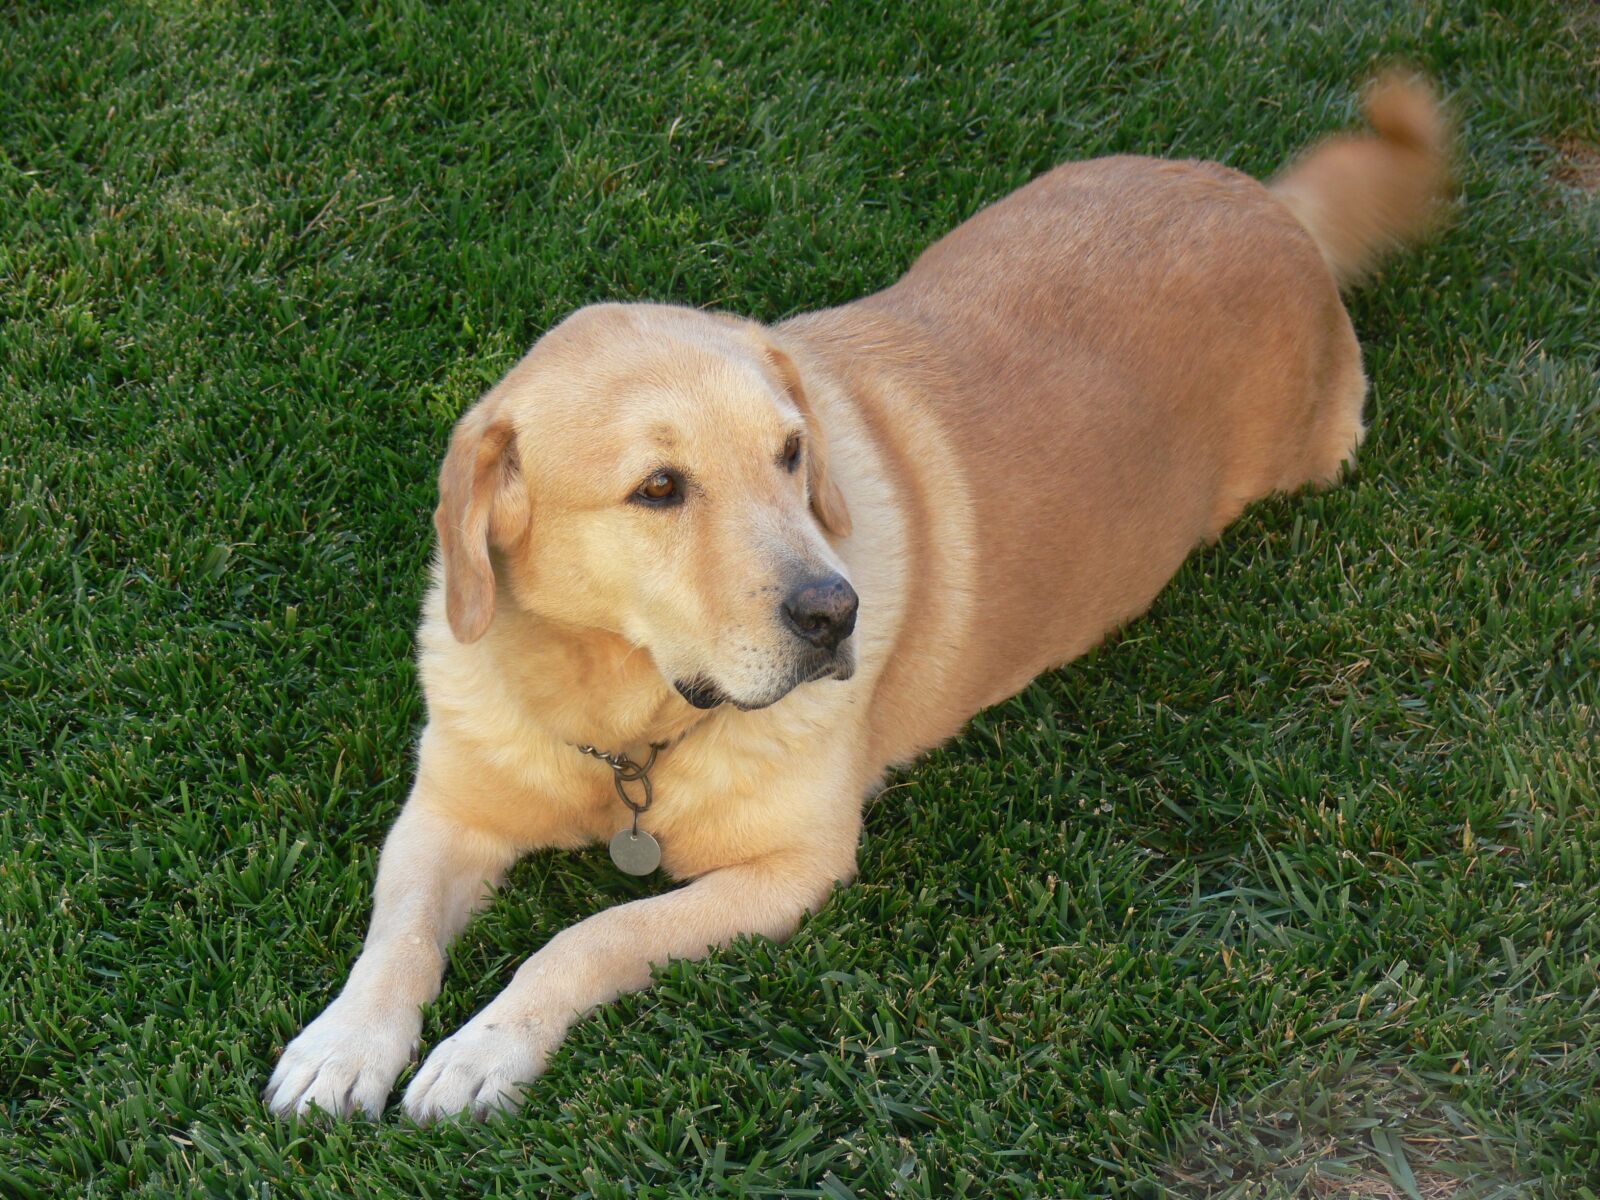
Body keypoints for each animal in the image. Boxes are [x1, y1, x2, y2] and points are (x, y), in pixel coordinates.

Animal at [272, 75, 1452, 1126]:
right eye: (659, 489)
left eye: (792, 454)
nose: (835, 614)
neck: (622, 716)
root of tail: (1270, 206)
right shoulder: (445, 809)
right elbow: (396, 935)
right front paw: (345, 1043)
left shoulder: (794, 867)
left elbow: (588, 937)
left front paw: (483, 1051)